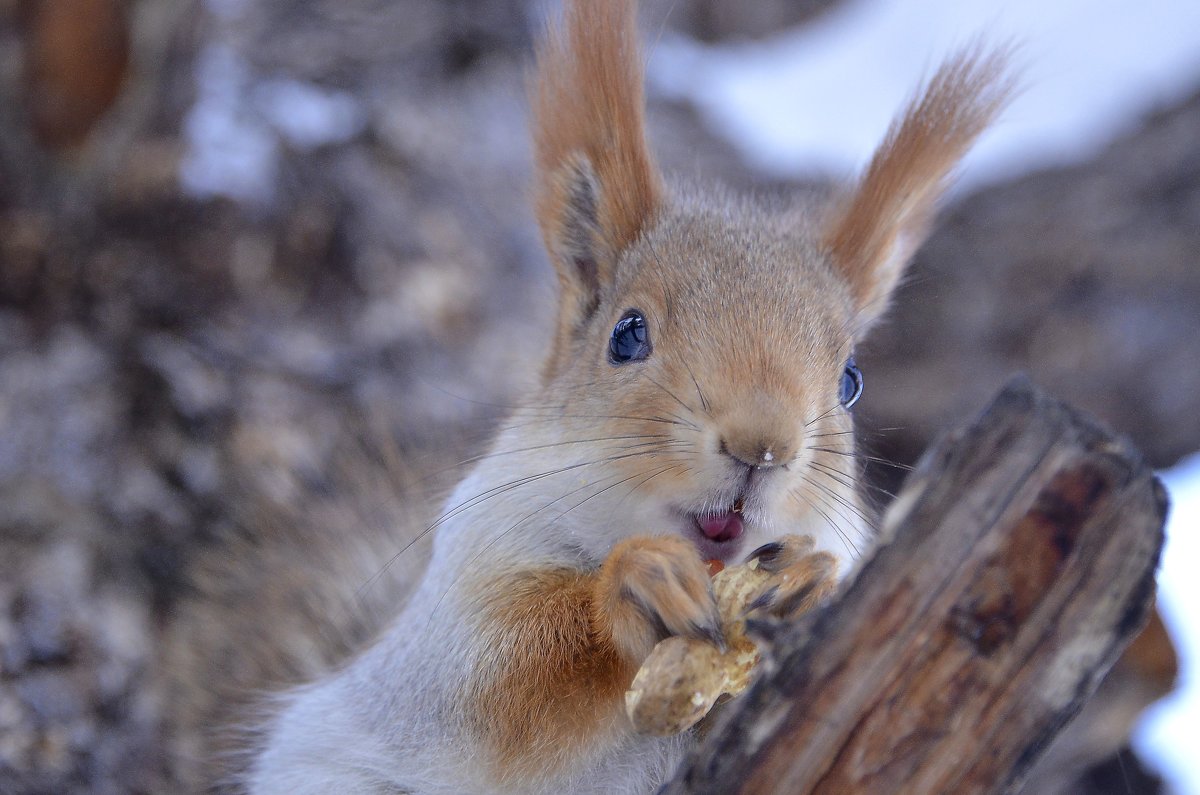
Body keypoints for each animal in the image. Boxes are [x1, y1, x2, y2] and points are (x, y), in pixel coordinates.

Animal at [174, 1, 1008, 795]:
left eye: (851, 381)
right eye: (627, 335)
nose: (761, 444)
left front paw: (810, 587)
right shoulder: (462, 593)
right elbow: (501, 674)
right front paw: (633, 588)